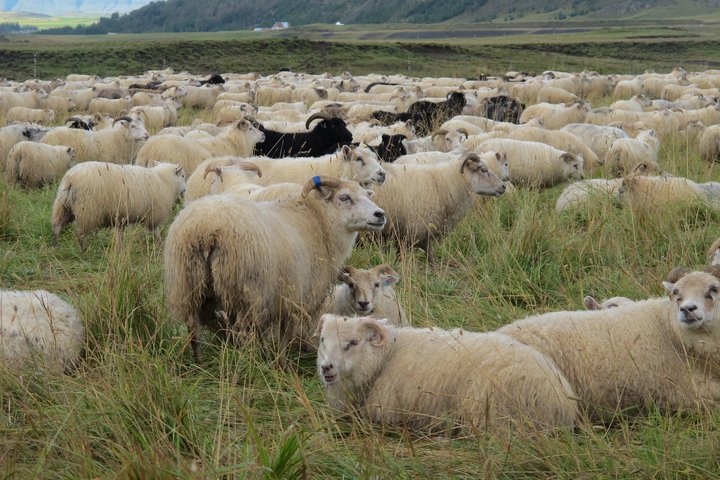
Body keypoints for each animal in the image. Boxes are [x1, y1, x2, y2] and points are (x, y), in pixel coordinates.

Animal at [51, 161, 186, 249]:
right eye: (183, 176)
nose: (185, 191)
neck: (164, 180)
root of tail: (71, 178)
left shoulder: (121, 218)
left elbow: (120, 236)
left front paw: (120, 248)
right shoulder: (153, 214)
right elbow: (156, 231)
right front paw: (161, 243)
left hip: (63, 205)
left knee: (56, 225)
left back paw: (56, 245)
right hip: (88, 211)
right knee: (80, 233)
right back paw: (83, 250)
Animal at [164, 175, 387, 361]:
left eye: (367, 195)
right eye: (344, 197)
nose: (380, 214)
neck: (319, 221)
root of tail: (206, 228)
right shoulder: (294, 297)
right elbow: (284, 335)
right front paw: (282, 364)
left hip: (189, 284)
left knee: (194, 329)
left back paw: (199, 364)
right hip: (247, 292)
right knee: (240, 332)